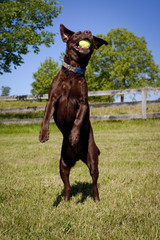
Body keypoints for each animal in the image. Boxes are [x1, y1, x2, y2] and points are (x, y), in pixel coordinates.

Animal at [39, 24, 108, 201]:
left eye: (92, 36)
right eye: (77, 33)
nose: (88, 32)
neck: (73, 72)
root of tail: (78, 156)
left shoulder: (83, 104)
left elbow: (77, 120)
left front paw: (74, 136)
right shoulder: (52, 100)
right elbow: (45, 118)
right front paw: (43, 135)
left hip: (92, 160)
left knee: (94, 183)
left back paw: (96, 200)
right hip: (63, 164)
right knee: (67, 186)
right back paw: (64, 201)